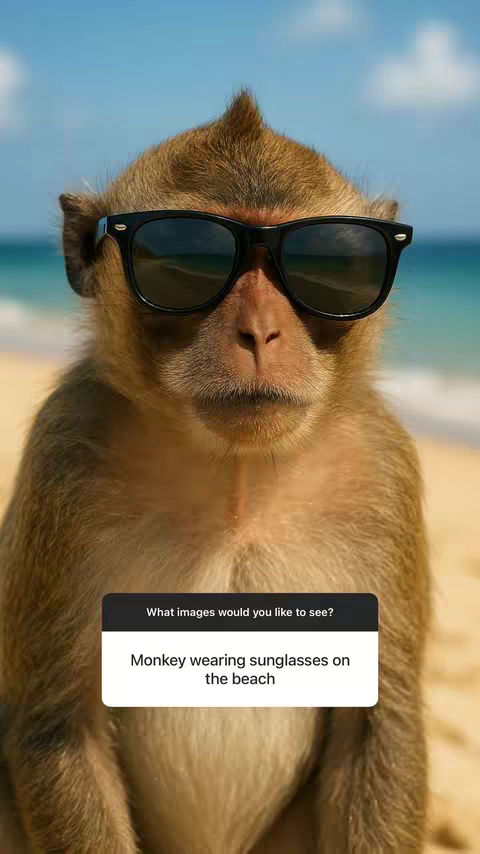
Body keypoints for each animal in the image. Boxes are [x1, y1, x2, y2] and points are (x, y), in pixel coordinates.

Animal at [0, 90, 430, 853]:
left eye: (332, 261)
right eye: (184, 257)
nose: (260, 330)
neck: (239, 482)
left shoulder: (382, 468)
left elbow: (378, 727)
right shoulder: (64, 451)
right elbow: (60, 725)